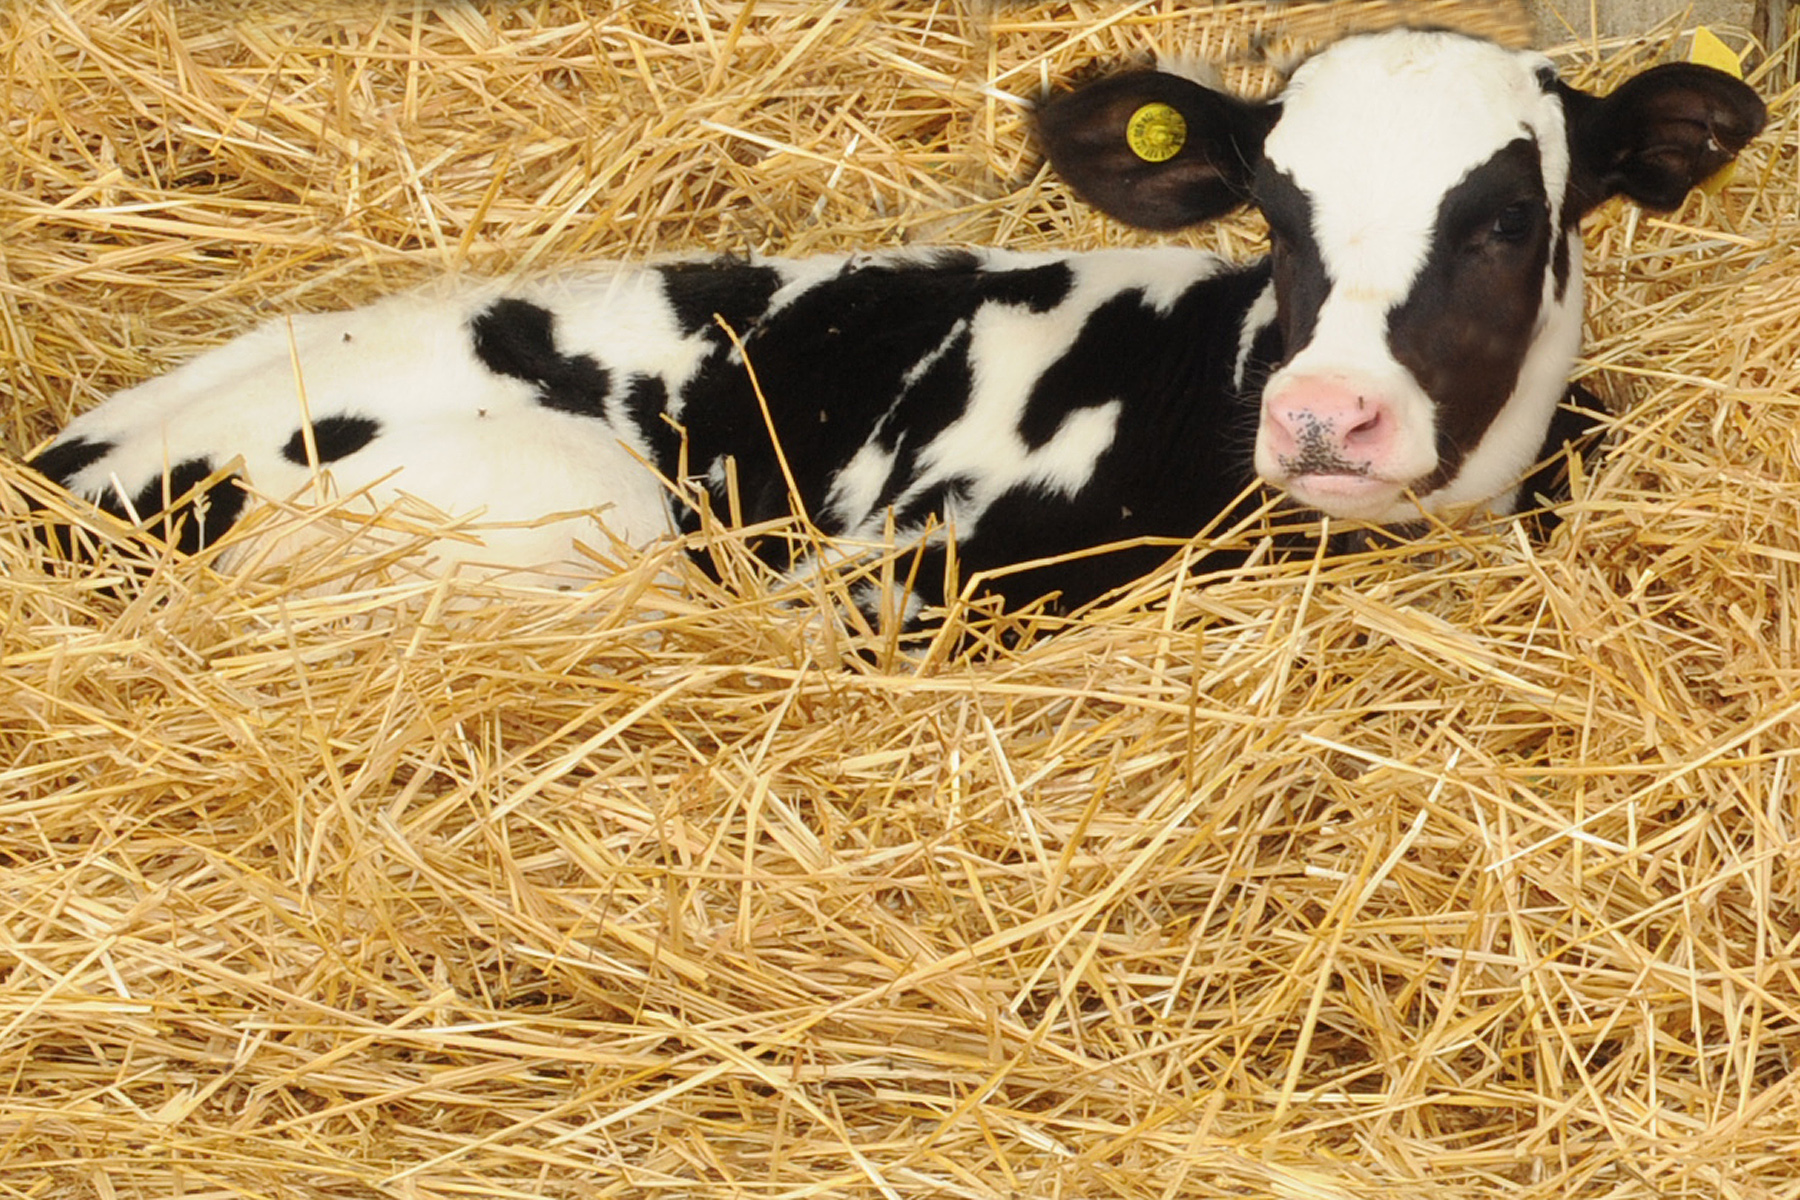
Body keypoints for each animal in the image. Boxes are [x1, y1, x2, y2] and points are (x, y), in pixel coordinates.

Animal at [19, 29, 1765, 618]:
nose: (1326, 417)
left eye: (1511, 218)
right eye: (1276, 210)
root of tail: (65, 471)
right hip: (590, 507)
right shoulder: (889, 568)